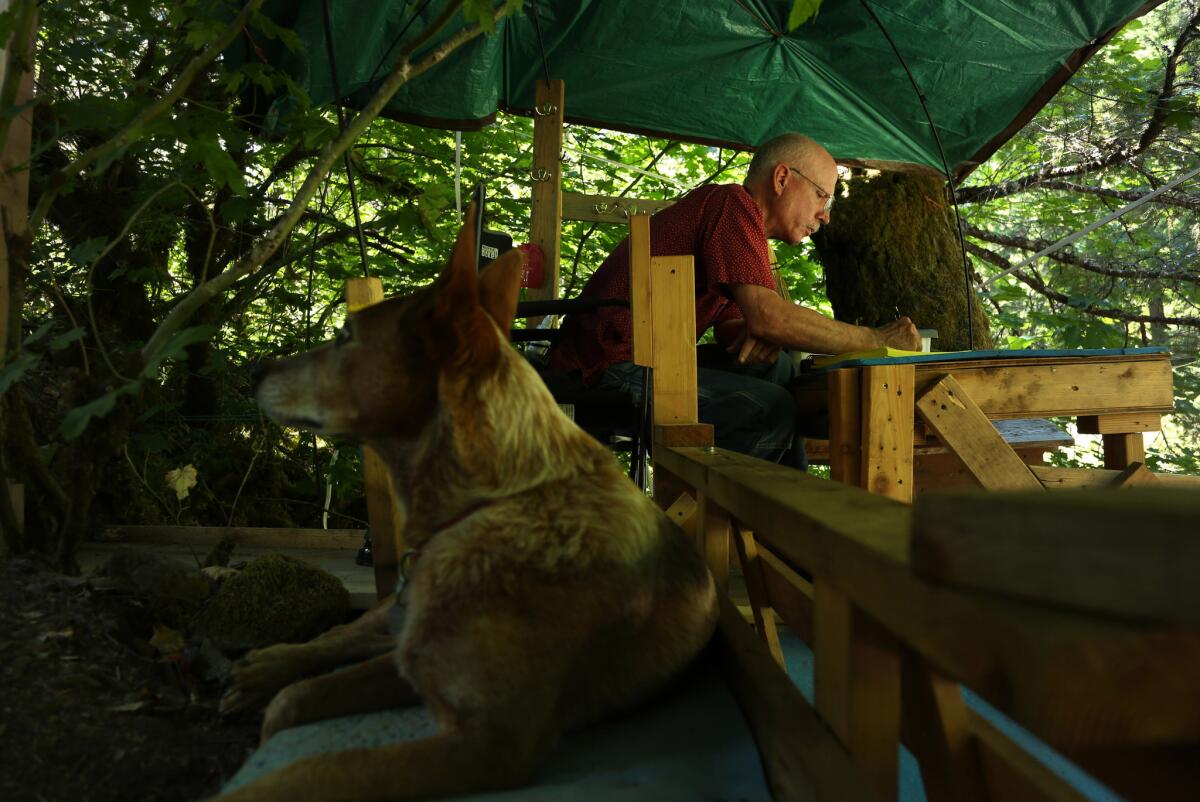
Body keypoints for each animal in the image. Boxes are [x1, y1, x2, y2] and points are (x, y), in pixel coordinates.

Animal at [217, 208, 715, 802]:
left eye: (344, 336)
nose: (253, 370)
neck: (492, 502)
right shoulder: (418, 671)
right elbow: (297, 699)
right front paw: (274, 681)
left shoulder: (487, 741)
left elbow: (314, 767)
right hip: (390, 622)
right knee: (342, 636)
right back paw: (265, 667)